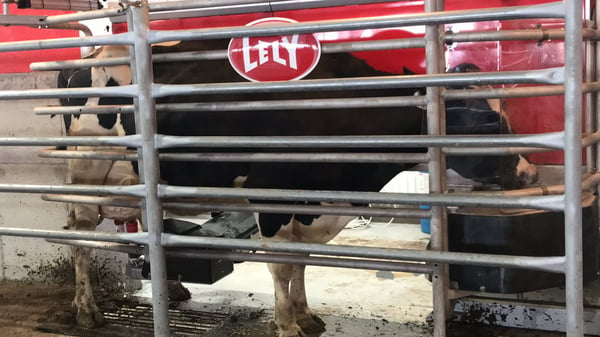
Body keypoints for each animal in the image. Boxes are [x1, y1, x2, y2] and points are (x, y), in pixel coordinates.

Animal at [57, 38, 540, 334]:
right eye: (480, 119)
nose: (531, 173)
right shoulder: (271, 195)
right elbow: (281, 266)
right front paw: (287, 323)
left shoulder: (309, 202)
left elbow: (303, 260)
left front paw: (306, 315)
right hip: (87, 174)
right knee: (79, 238)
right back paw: (86, 310)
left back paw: (169, 288)